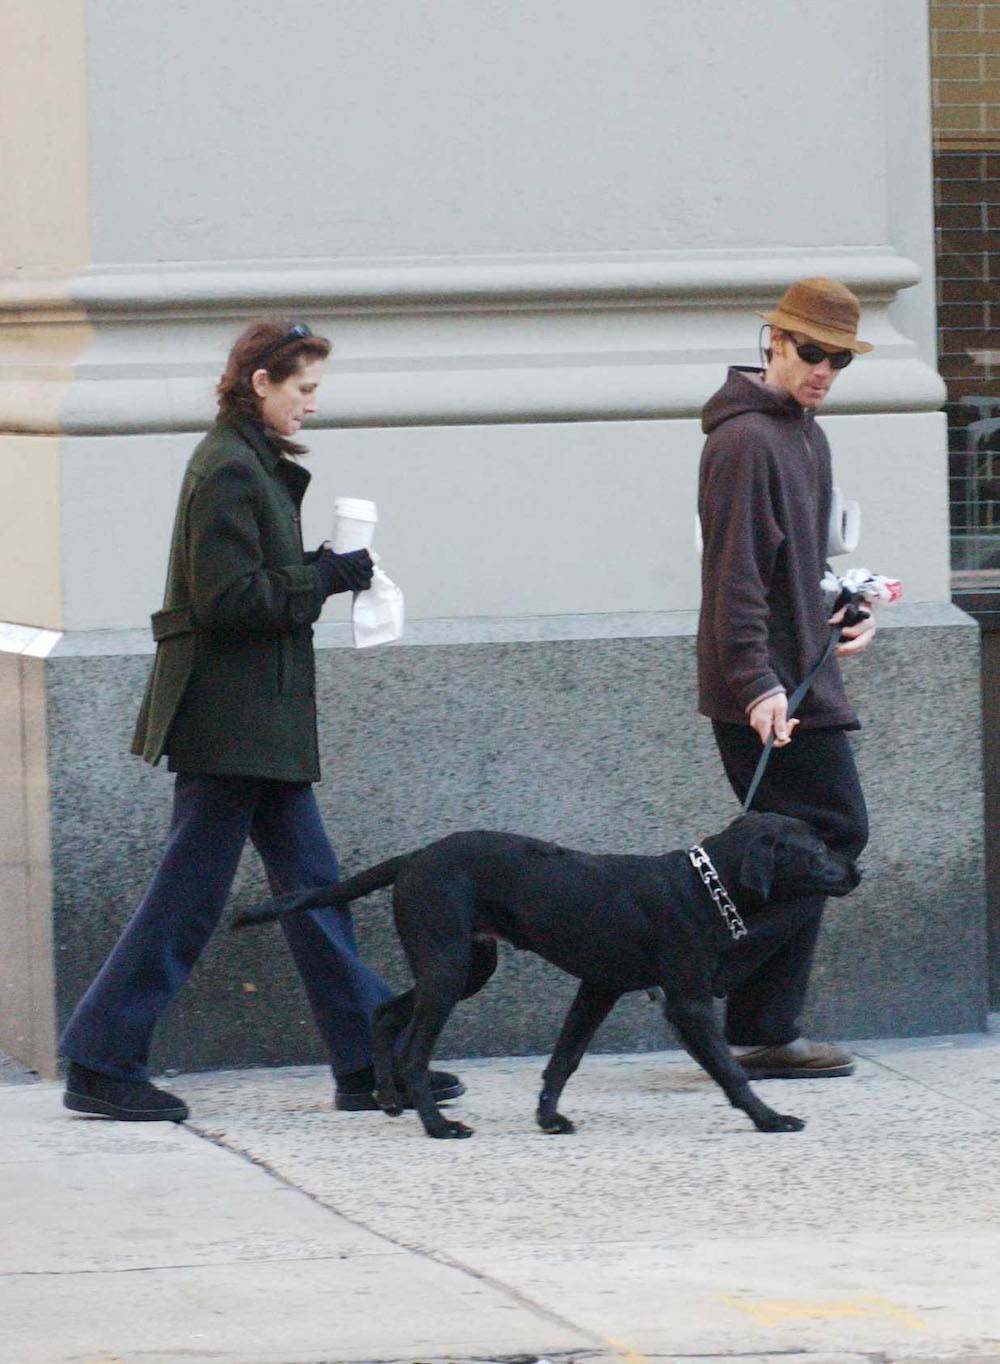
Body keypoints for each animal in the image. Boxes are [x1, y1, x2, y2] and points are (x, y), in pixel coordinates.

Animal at [231, 812, 856, 1134]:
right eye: (817, 850)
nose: (857, 870)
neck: (706, 886)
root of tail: (412, 859)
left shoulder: (599, 987)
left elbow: (565, 1057)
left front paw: (548, 1116)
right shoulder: (687, 1001)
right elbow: (730, 1070)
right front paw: (769, 1118)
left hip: (466, 966)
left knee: (384, 1014)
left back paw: (388, 1098)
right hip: (448, 968)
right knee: (414, 1052)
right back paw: (436, 1125)